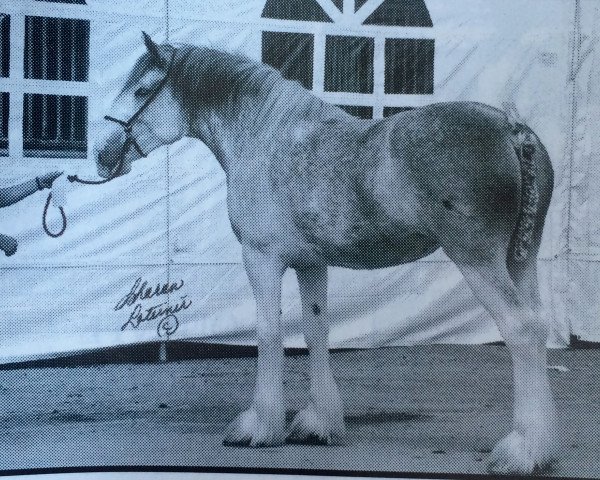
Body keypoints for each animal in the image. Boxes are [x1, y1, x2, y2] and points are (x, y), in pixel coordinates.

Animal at [95, 33, 556, 476]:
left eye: (141, 90)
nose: (102, 154)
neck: (264, 136)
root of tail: (511, 128)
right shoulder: (311, 263)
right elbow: (316, 331)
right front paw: (318, 423)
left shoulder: (260, 259)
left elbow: (269, 333)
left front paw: (258, 427)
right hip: (520, 261)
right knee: (537, 326)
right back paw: (540, 447)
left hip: (478, 260)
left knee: (521, 331)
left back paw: (520, 451)